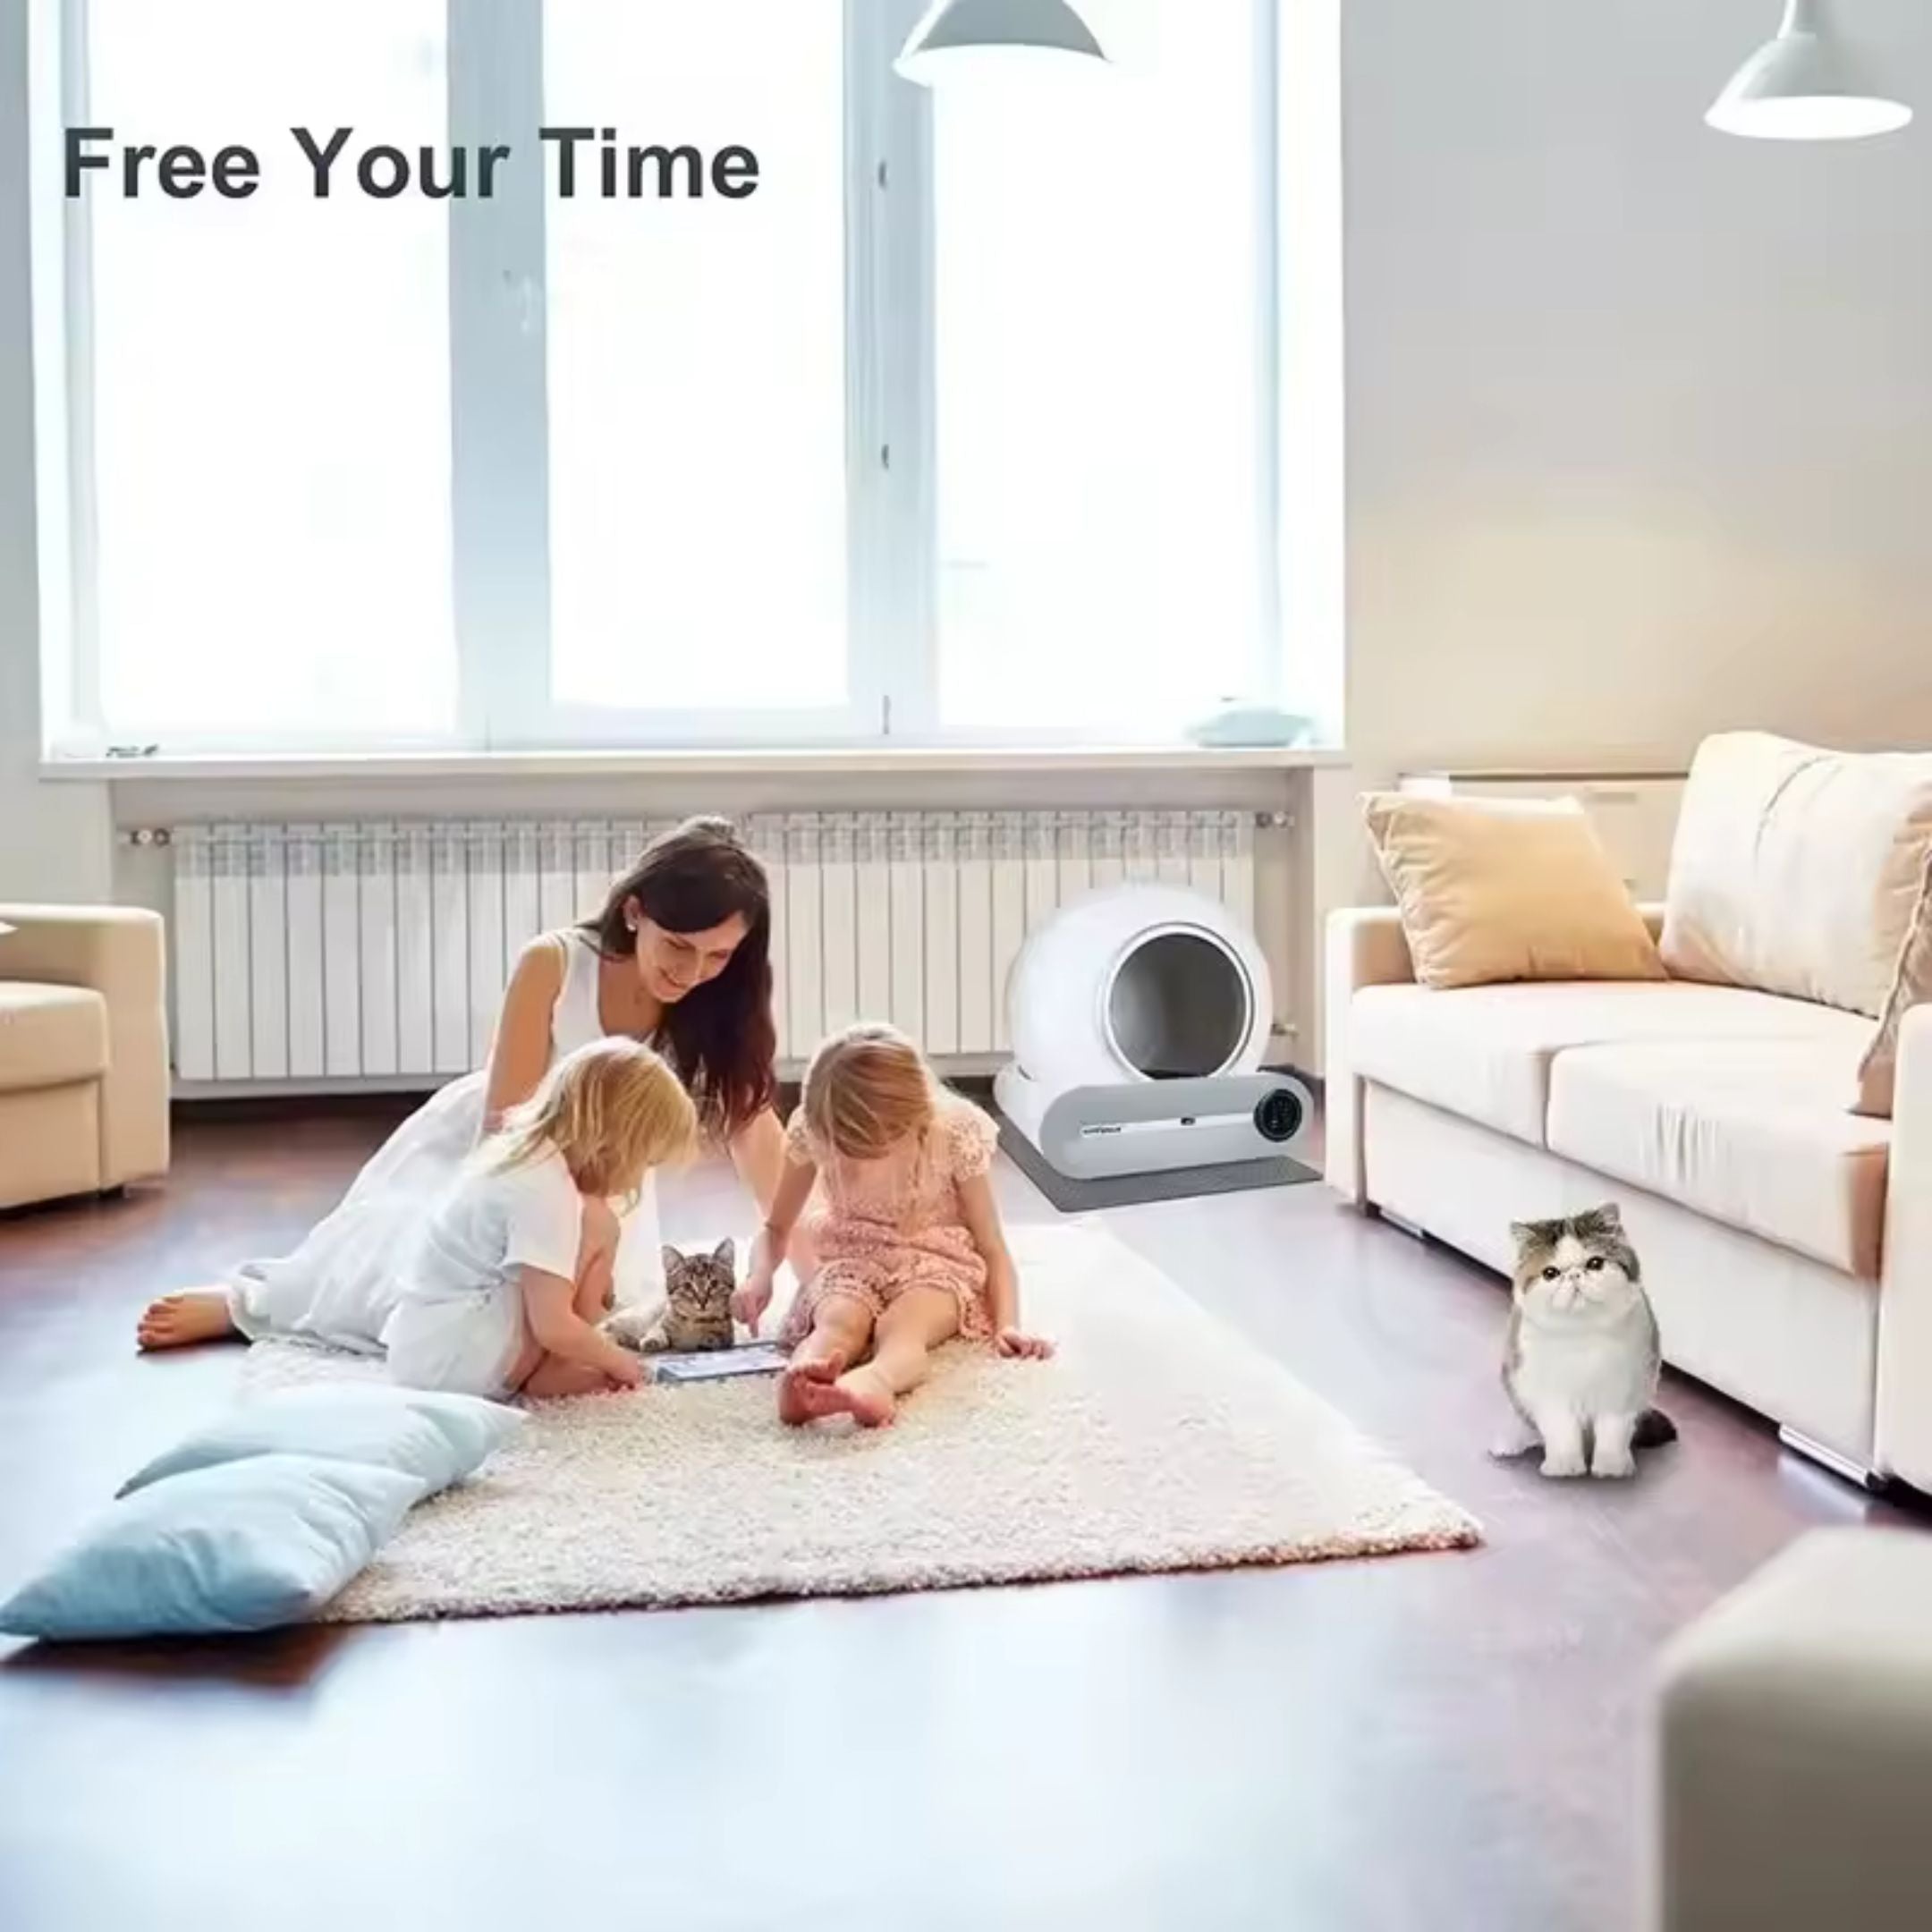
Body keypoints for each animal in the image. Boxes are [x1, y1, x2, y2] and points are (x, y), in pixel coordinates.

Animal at [610, 1244, 738, 1352]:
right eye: (687, 1286)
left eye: (714, 1284)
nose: (702, 1301)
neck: (694, 1322)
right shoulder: (660, 1322)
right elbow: (657, 1330)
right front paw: (652, 1340)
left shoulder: (727, 1336)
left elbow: (716, 1339)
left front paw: (706, 1340)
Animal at [1491, 1205, 1676, 1476]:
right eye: (1550, 1273)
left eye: (1595, 1263)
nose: (1574, 1275)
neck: (1583, 1331)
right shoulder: (1547, 1391)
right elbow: (1561, 1431)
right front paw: (1564, 1467)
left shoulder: (1623, 1387)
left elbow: (1613, 1431)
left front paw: (1611, 1468)